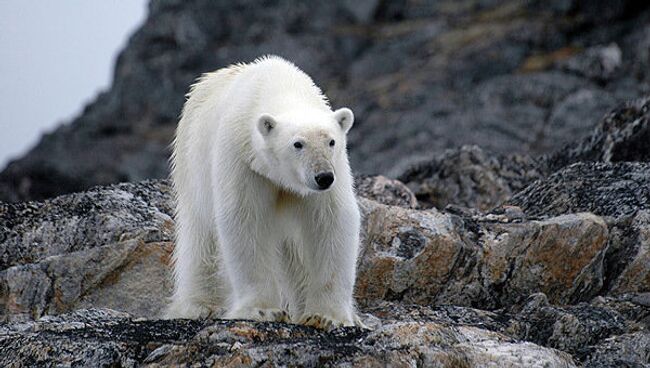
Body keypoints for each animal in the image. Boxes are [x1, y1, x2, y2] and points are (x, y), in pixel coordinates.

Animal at [165, 54, 362, 328]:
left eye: (331, 141)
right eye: (297, 144)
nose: (323, 177)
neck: (280, 86)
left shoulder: (336, 171)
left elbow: (332, 221)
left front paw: (327, 316)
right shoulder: (243, 160)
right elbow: (245, 219)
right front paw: (262, 310)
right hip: (190, 165)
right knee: (201, 238)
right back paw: (199, 305)